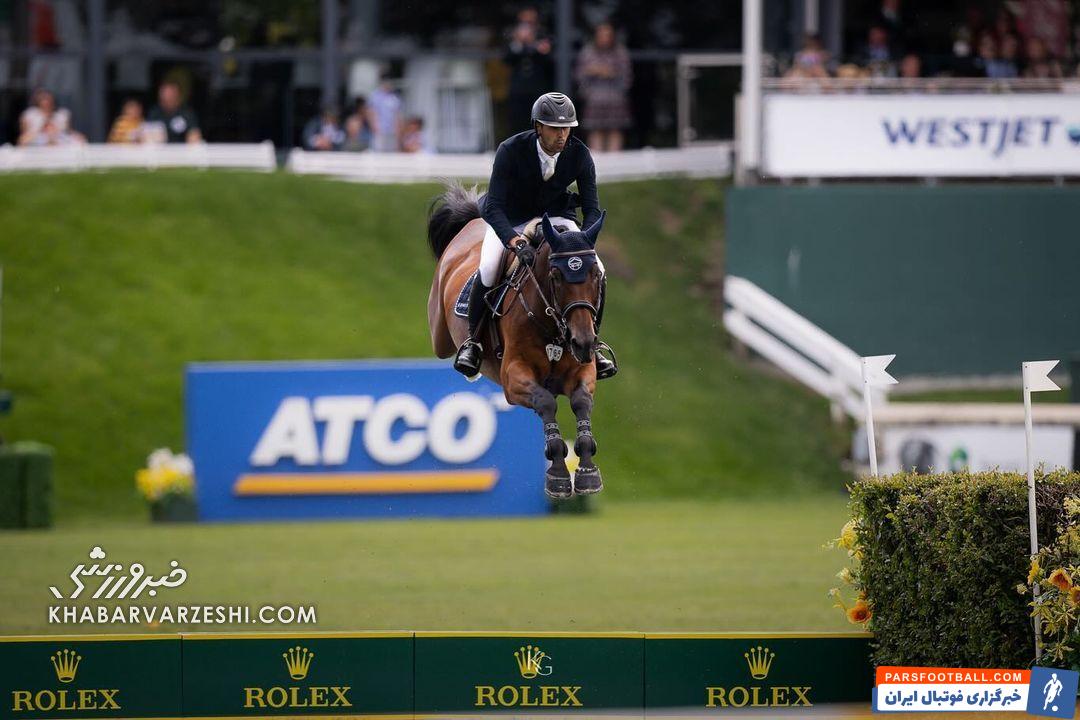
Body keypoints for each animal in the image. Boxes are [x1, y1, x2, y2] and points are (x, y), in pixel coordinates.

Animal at [426, 184, 606, 499]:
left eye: (596, 274)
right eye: (556, 276)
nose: (583, 342)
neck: (553, 327)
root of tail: (472, 223)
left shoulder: (582, 370)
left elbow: (582, 401)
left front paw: (587, 473)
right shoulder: (513, 379)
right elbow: (545, 401)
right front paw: (558, 474)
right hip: (440, 332)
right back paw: (469, 359)